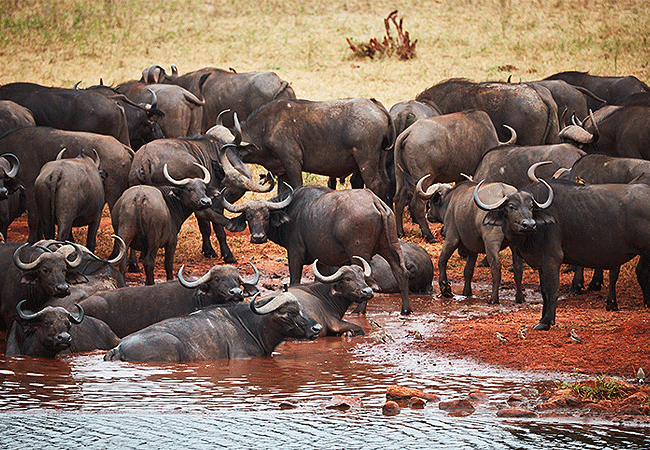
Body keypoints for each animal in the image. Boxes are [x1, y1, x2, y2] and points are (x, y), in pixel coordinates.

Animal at [470, 163, 648, 328]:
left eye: (531, 207)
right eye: (511, 207)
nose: (529, 224)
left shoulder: (552, 259)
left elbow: (552, 290)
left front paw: (545, 322)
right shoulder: (541, 263)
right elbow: (543, 292)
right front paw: (545, 318)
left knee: (639, 272)